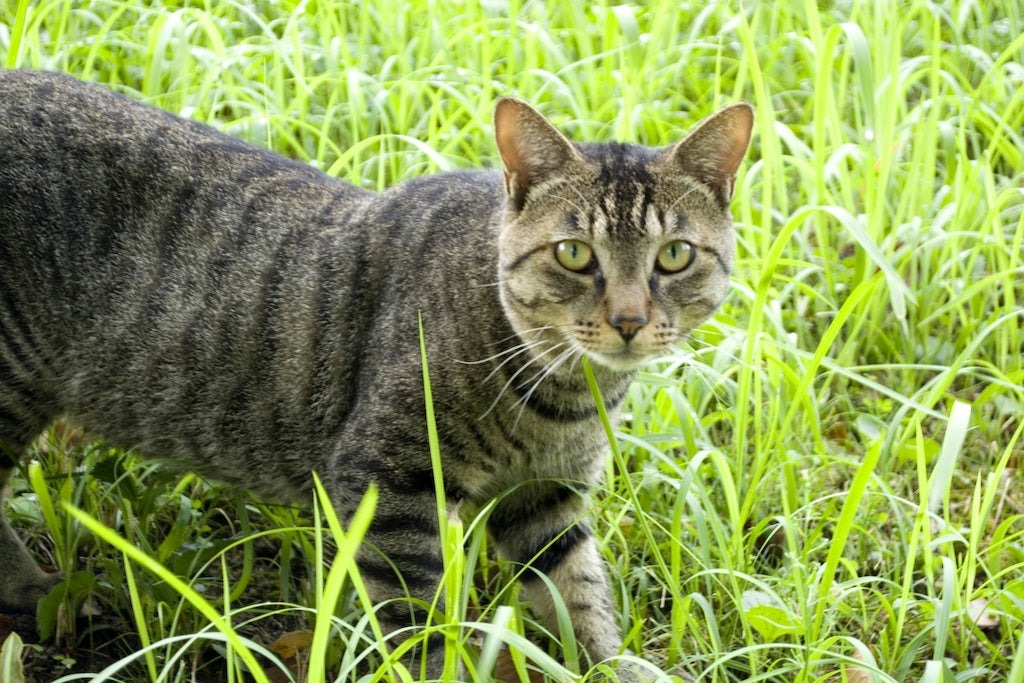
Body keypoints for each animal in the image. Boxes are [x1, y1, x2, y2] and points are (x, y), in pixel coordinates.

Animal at [0, 69, 753, 679]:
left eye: (675, 255)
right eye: (573, 253)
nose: (627, 319)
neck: (563, 390)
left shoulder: (545, 497)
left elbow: (579, 596)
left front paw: (609, 664)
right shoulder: (387, 484)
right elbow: (417, 626)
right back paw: (34, 591)